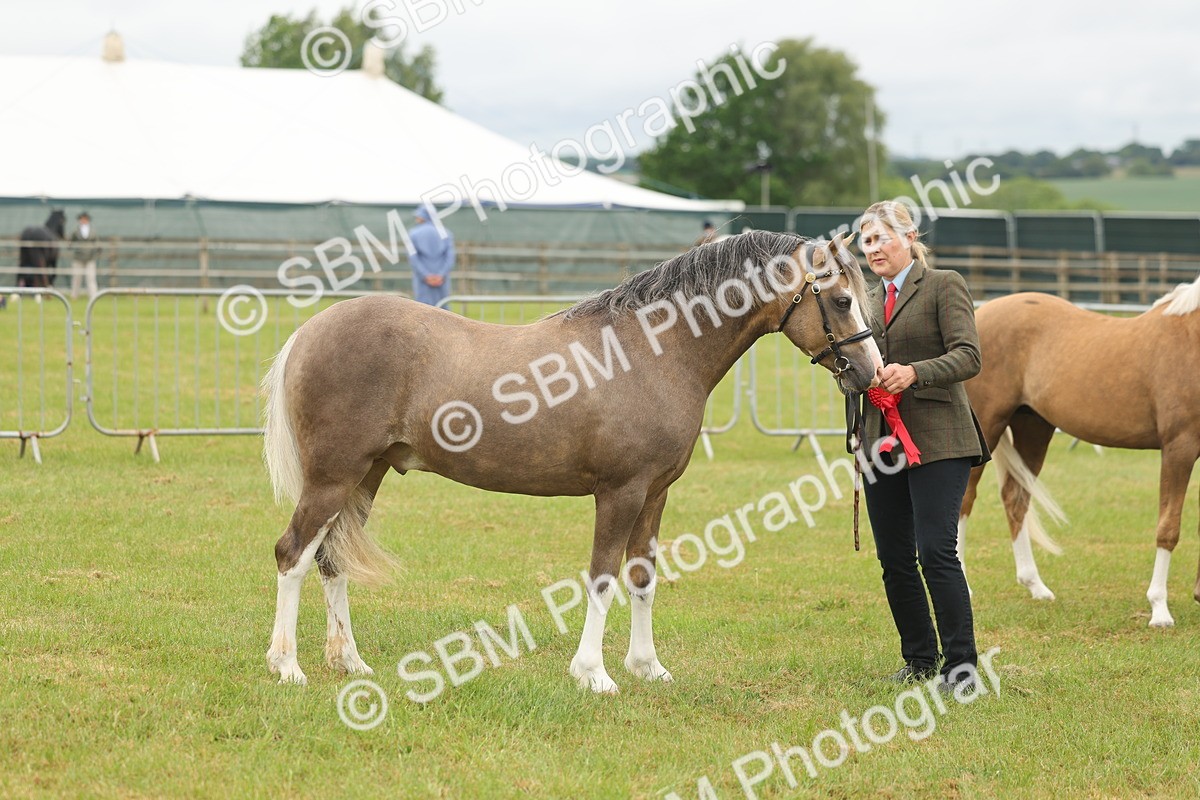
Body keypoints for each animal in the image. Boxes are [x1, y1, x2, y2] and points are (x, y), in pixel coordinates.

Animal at [261, 230, 884, 690]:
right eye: (841, 300)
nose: (871, 374)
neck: (652, 351)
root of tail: (310, 331)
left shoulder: (656, 492)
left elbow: (642, 577)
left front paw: (647, 667)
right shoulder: (620, 492)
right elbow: (603, 577)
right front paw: (594, 675)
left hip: (365, 477)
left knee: (331, 560)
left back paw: (349, 661)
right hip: (332, 477)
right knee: (293, 554)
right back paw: (287, 666)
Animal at [957, 274, 1200, 627]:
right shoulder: (1179, 447)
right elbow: (1168, 528)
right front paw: (1159, 610)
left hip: (1033, 428)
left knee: (1016, 498)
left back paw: (1035, 585)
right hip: (986, 427)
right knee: (964, 499)